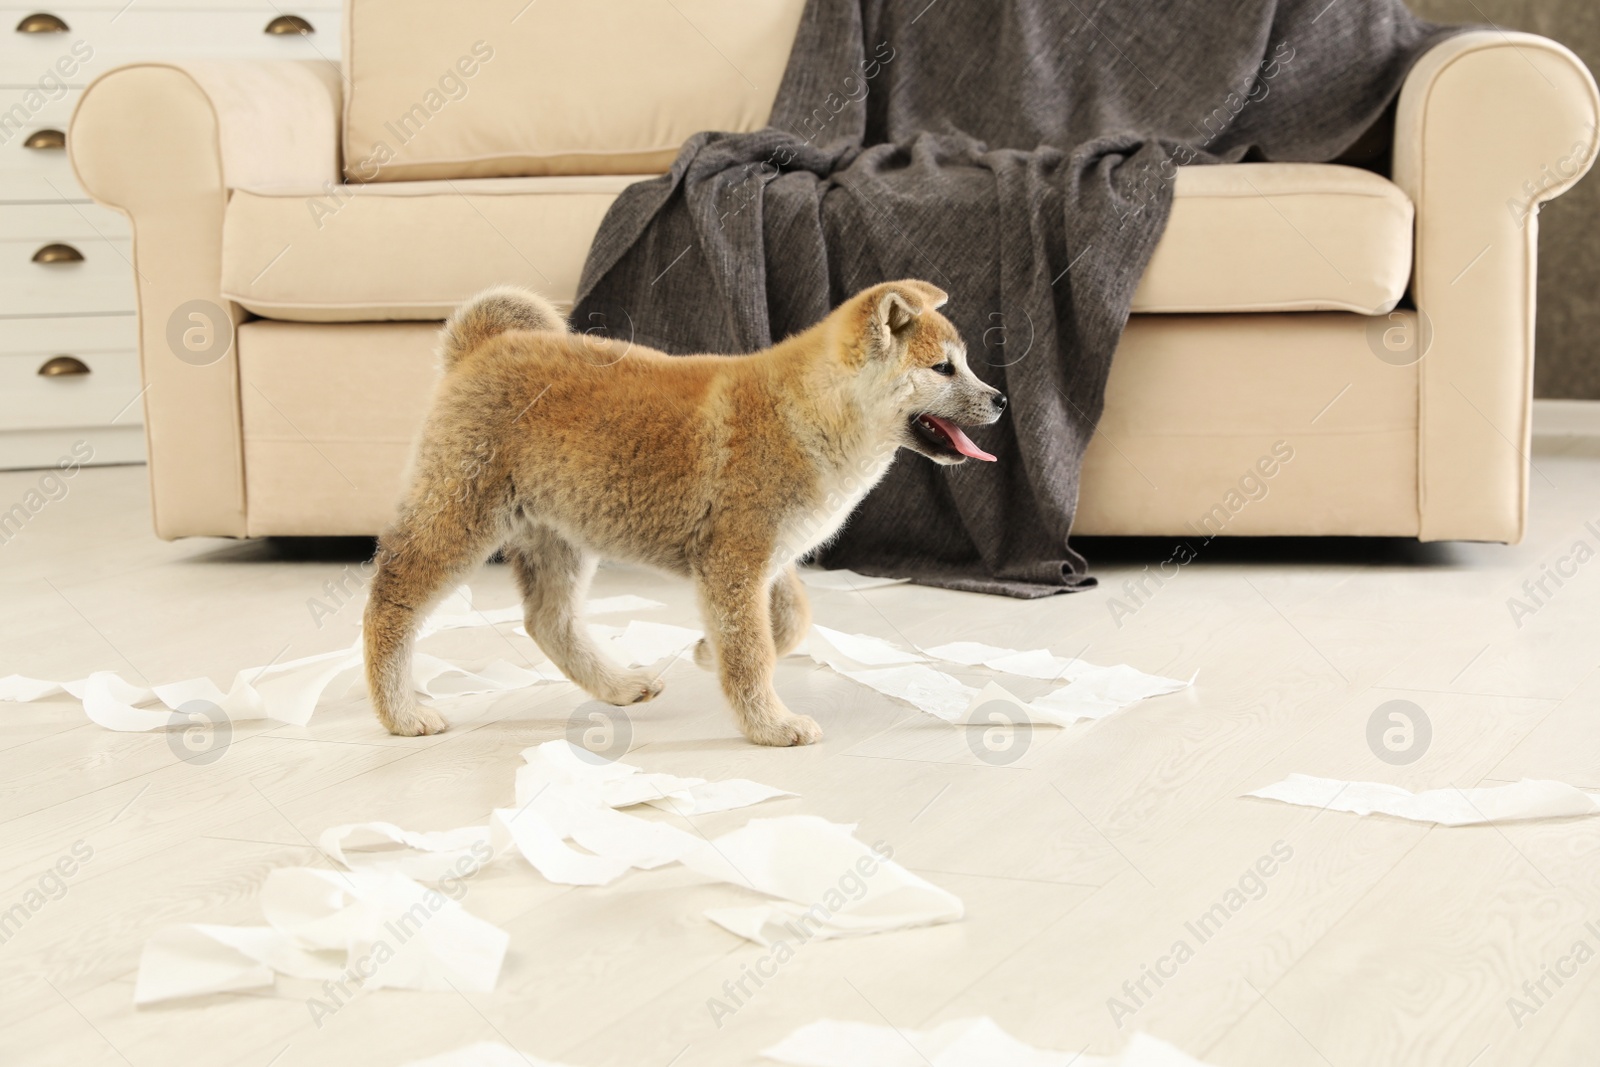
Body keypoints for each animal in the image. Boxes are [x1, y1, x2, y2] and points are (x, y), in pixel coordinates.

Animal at [368, 279, 1004, 748]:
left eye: (965, 364)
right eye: (944, 369)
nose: (1000, 400)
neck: (810, 411)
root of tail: (479, 349)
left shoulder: (762, 557)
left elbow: (790, 621)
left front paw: (704, 651)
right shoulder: (735, 559)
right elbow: (752, 650)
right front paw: (770, 726)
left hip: (558, 533)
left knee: (548, 621)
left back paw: (616, 687)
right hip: (461, 518)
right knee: (390, 601)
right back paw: (400, 712)